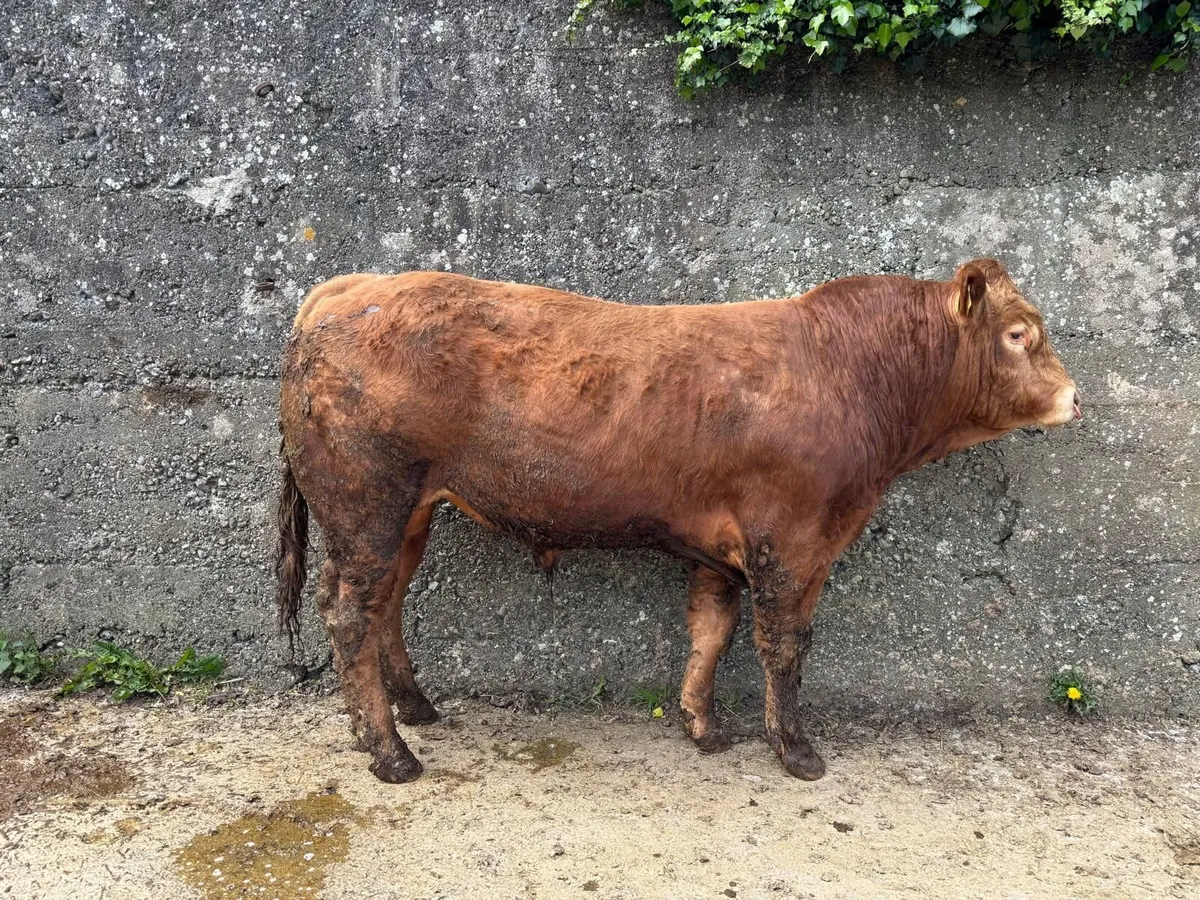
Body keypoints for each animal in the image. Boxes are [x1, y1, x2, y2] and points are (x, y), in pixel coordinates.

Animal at [274, 259, 1080, 784]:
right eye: (1018, 333)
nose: (1074, 396)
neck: (850, 371)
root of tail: (352, 288)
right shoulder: (795, 540)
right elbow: (783, 645)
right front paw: (795, 750)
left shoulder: (721, 549)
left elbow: (711, 631)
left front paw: (704, 725)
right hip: (365, 501)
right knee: (348, 612)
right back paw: (390, 754)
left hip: (406, 513)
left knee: (387, 604)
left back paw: (416, 709)